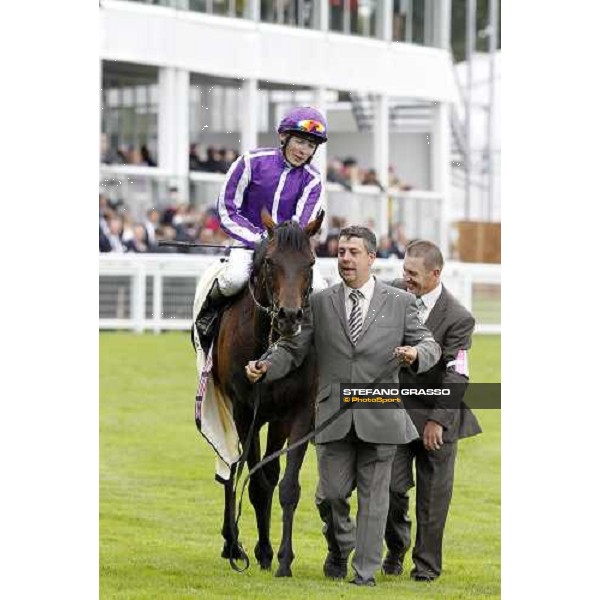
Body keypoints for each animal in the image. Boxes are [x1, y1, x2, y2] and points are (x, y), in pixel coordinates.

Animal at [212, 207, 324, 576]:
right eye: (272, 262)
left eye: (311, 262)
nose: (290, 316)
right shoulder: (246, 411)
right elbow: (254, 481)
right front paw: (259, 549)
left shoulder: (296, 413)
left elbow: (283, 484)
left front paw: (282, 557)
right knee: (230, 468)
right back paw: (231, 542)